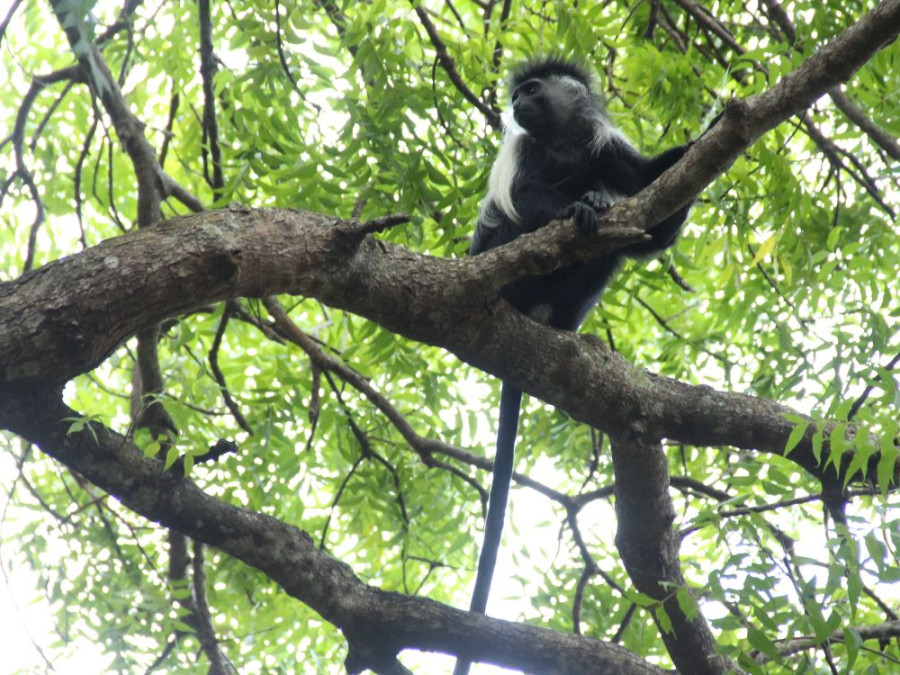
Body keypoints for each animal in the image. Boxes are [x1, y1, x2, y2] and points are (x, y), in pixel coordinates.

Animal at [458, 56, 696, 672]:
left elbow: (652, 223)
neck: (562, 143)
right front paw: (577, 205)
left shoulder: (604, 148)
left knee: (616, 244)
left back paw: (567, 321)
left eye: (532, 90)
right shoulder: (523, 152)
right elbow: (523, 195)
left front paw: (707, 135)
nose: (516, 102)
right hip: (502, 264)